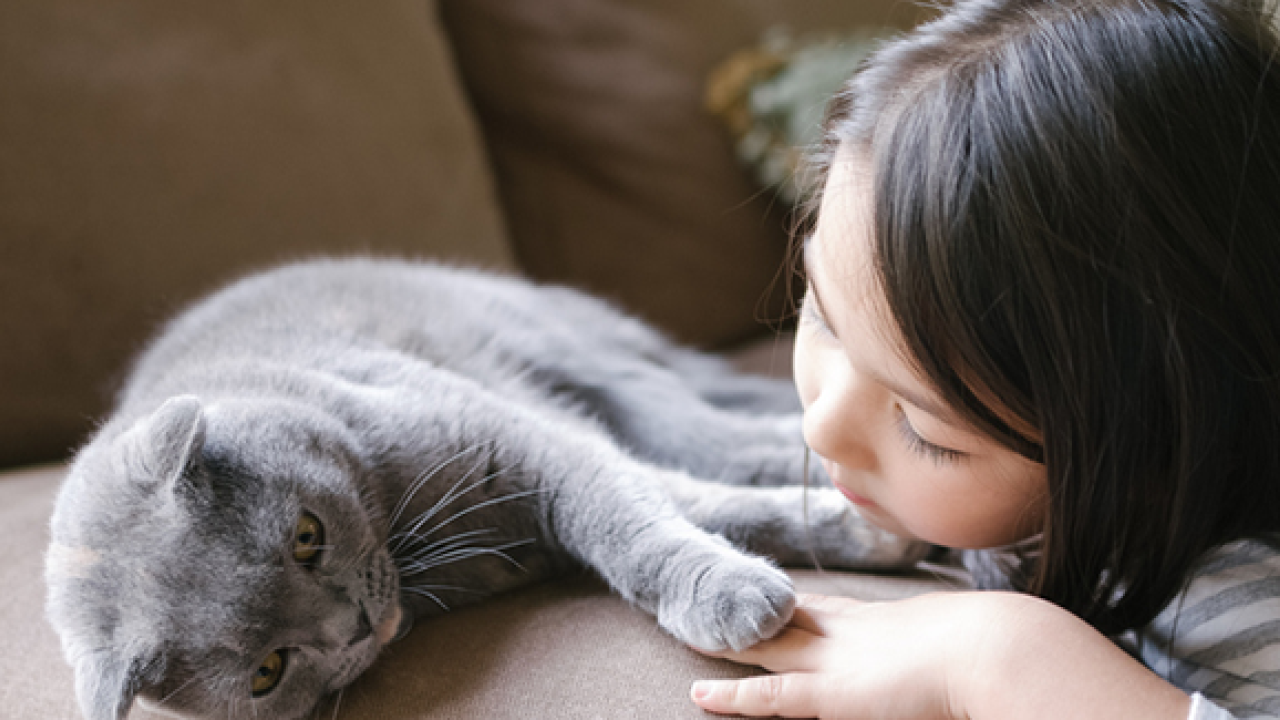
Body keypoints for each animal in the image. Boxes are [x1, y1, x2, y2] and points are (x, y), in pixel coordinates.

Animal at [40, 257, 921, 717]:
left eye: (306, 536)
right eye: (269, 670)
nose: (357, 624)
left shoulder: (528, 442)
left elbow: (641, 524)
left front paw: (738, 591)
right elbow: (684, 502)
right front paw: (860, 539)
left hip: (599, 363)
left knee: (725, 432)